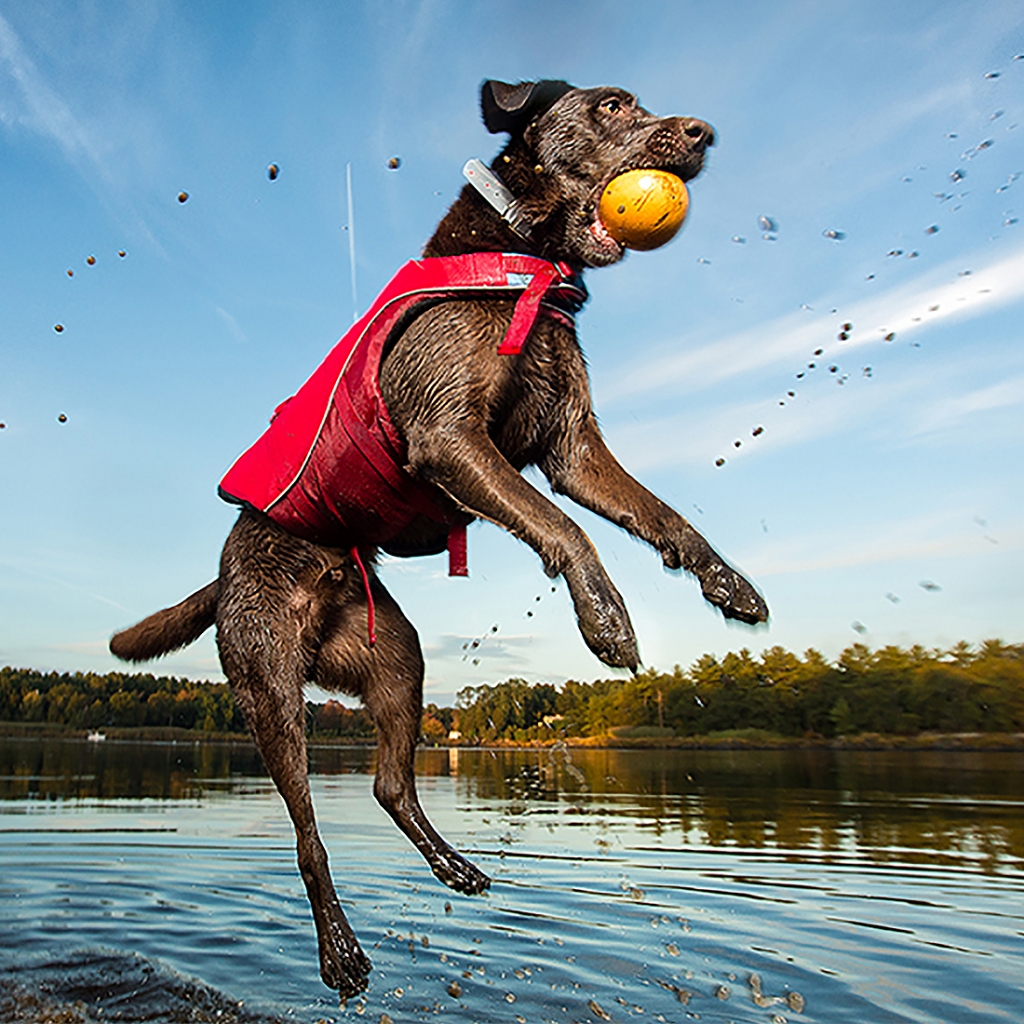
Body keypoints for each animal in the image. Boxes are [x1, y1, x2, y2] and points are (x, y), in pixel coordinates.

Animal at [112, 81, 770, 999]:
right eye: (611, 105)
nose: (702, 134)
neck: (521, 261)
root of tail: (225, 572)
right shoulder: (451, 438)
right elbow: (565, 528)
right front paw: (605, 620)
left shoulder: (573, 448)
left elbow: (661, 515)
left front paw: (723, 580)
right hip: (270, 688)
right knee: (307, 834)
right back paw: (340, 952)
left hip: (394, 657)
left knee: (390, 783)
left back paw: (452, 866)